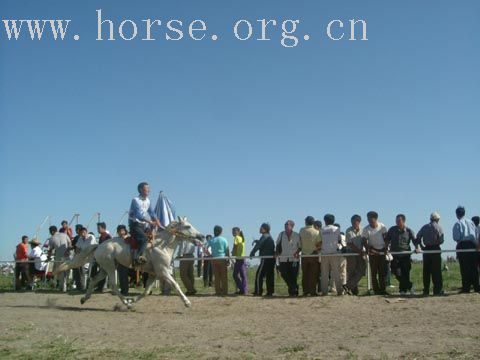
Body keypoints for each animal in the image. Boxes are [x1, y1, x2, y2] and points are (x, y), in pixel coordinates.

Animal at [54, 217, 204, 310]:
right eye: (188, 226)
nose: (201, 236)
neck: (162, 246)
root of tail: (99, 245)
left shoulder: (154, 274)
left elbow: (146, 291)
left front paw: (133, 301)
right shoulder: (163, 272)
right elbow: (175, 285)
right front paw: (187, 302)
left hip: (105, 268)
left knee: (93, 280)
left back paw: (84, 299)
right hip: (109, 267)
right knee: (114, 286)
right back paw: (125, 303)